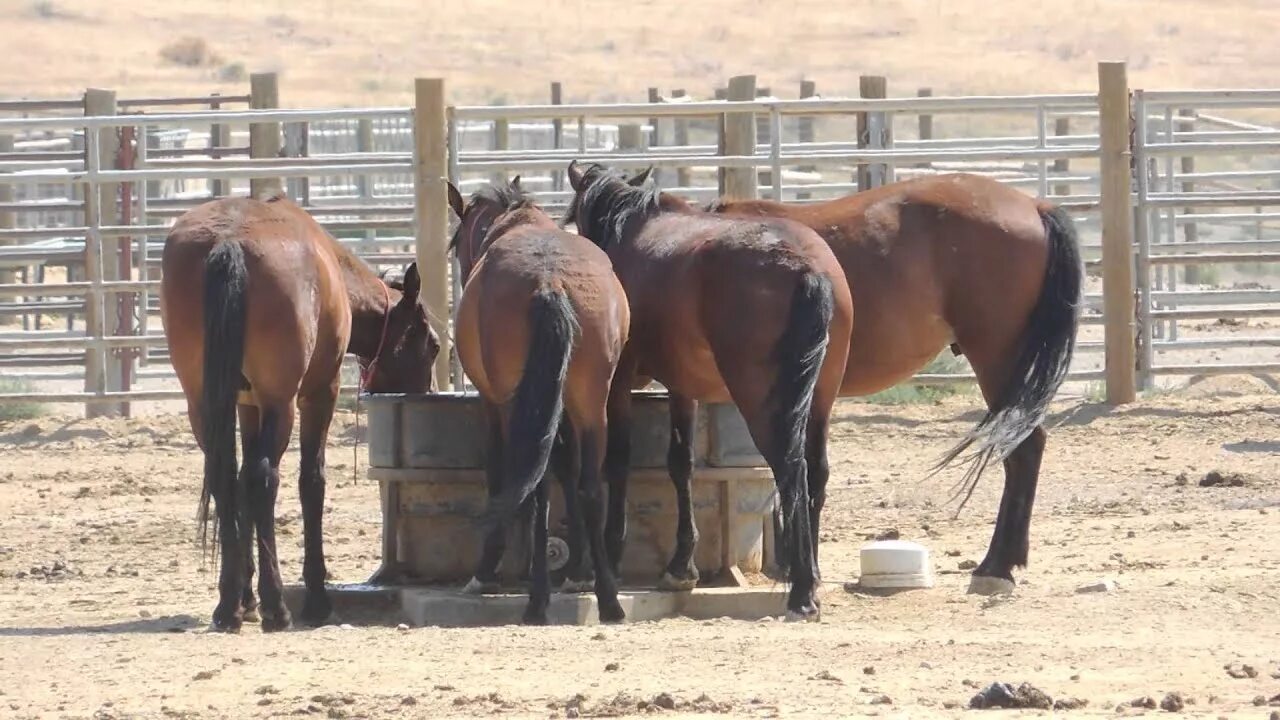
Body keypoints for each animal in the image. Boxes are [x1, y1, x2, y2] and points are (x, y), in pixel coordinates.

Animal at [161, 190, 440, 627]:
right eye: (433, 345)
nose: (424, 394)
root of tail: (229, 243)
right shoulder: (318, 396)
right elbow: (312, 481)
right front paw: (315, 595)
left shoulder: (246, 405)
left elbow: (240, 485)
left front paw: (245, 595)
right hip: (282, 402)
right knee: (263, 478)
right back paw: (276, 606)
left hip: (203, 404)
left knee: (227, 477)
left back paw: (229, 605)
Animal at [448, 178, 632, 622]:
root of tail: (551, 282)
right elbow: (567, 466)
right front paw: (578, 568)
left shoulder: (493, 405)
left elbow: (503, 476)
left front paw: (486, 571)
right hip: (591, 404)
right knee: (589, 488)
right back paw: (608, 598)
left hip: (515, 407)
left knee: (533, 490)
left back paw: (537, 599)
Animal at [563, 161, 849, 617]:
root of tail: (805, 265)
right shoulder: (683, 387)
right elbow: (681, 464)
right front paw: (681, 566)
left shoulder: (619, 383)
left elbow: (619, 462)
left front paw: (613, 553)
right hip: (821, 399)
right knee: (816, 472)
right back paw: (813, 576)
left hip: (762, 402)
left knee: (791, 469)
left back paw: (802, 591)